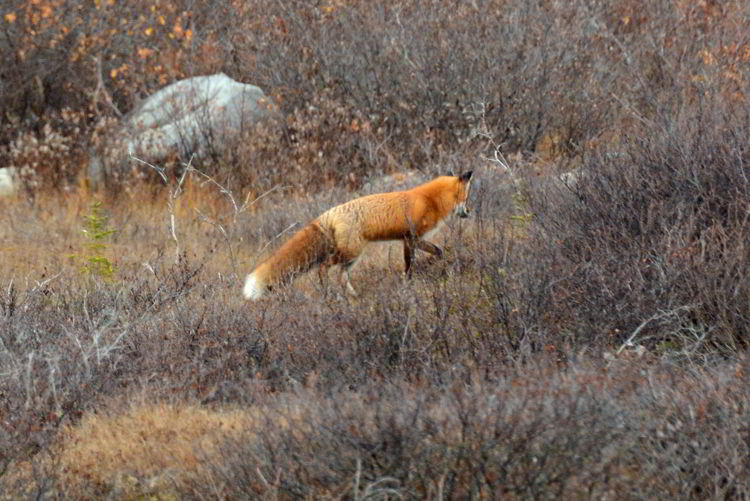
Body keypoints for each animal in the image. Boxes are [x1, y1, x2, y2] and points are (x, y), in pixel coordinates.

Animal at [244, 170, 472, 298]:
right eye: (467, 198)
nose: (469, 213)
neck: (430, 200)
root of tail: (329, 212)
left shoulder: (410, 240)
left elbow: (427, 255)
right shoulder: (411, 238)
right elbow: (415, 261)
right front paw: (408, 283)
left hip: (351, 257)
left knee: (341, 275)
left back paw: (352, 295)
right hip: (351, 252)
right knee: (323, 267)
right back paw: (327, 291)